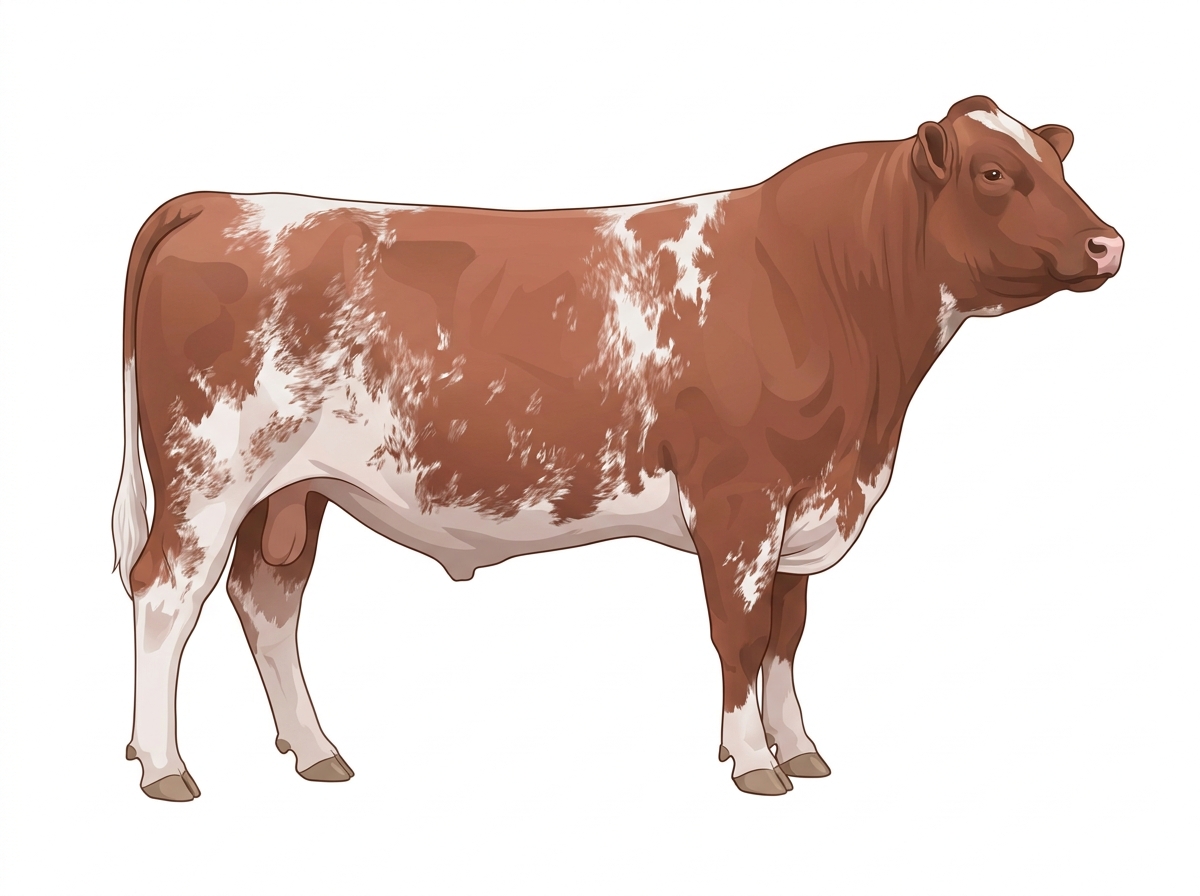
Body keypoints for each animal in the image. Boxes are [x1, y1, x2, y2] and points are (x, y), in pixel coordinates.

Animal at [112, 96, 1122, 801]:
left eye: (1054, 160)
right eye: (993, 173)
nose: (1107, 243)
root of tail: (216, 200)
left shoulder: (802, 506)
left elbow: (788, 635)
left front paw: (799, 747)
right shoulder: (740, 499)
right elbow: (740, 634)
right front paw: (752, 760)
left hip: (293, 491)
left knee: (268, 602)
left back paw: (318, 751)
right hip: (210, 474)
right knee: (166, 594)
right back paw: (164, 767)